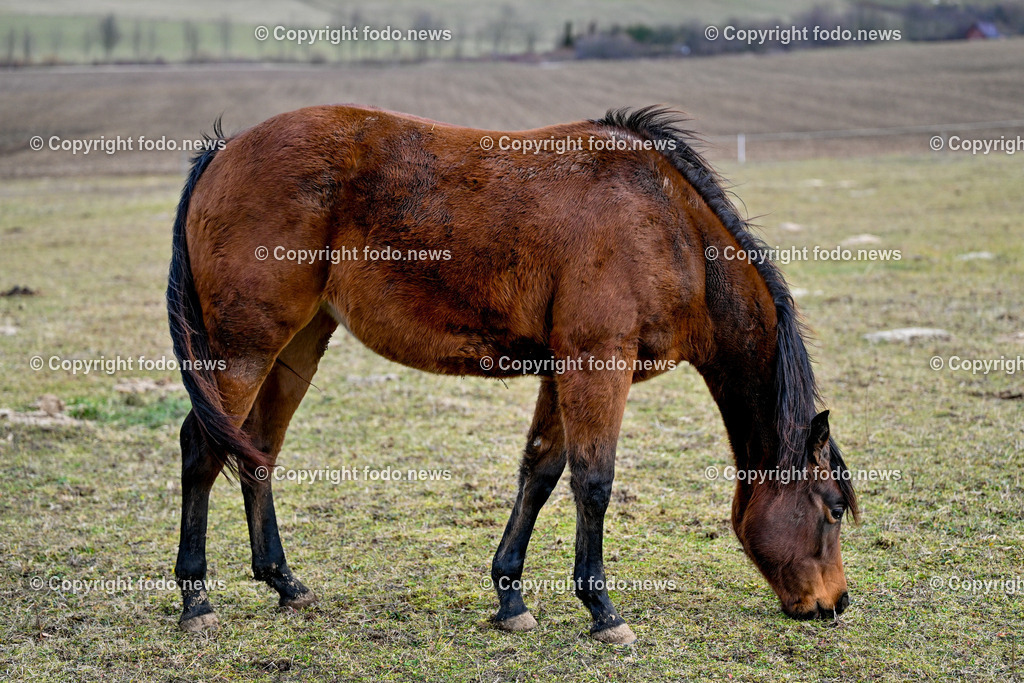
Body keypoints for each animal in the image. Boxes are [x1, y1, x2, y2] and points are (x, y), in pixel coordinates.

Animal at [167, 105, 858, 645]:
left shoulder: (564, 372)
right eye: (832, 509)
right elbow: (593, 483)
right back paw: (196, 599)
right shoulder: (597, 366)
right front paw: (603, 611)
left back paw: (284, 583)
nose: (835, 603)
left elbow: (541, 473)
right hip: (244, 350)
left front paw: (510, 596)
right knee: (203, 448)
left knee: (257, 451)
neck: (669, 227)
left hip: (297, 346)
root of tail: (224, 152)